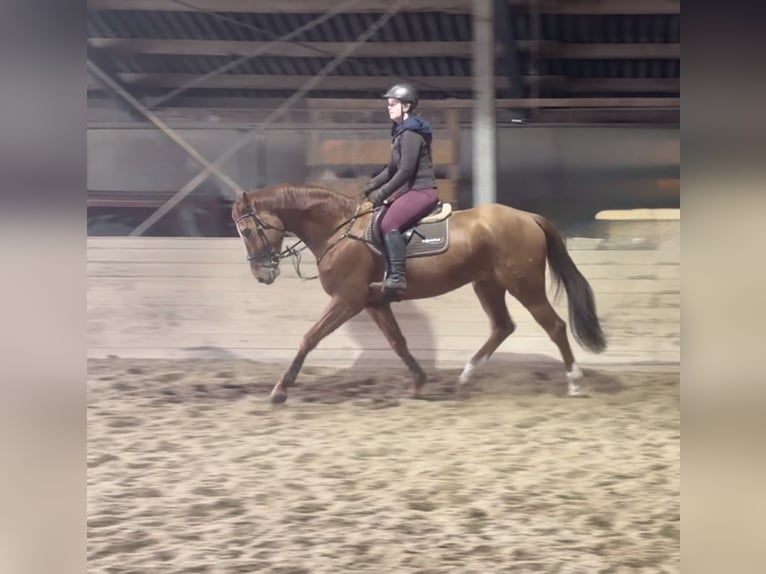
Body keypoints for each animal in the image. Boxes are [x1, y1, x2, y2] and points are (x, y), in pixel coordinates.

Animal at [231, 183, 606, 404]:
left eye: (247, 230)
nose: (262, 274)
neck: (339, 230)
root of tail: (528, 217)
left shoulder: (347, 301)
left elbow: (309, 338)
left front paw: (280, 390)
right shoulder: (373, 303)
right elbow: (398, 342)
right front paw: (418, 382)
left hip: (524, 285)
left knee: (554, 326)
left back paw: (575, 382)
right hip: (487, 284)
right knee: (502, 327)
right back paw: (464, 377)